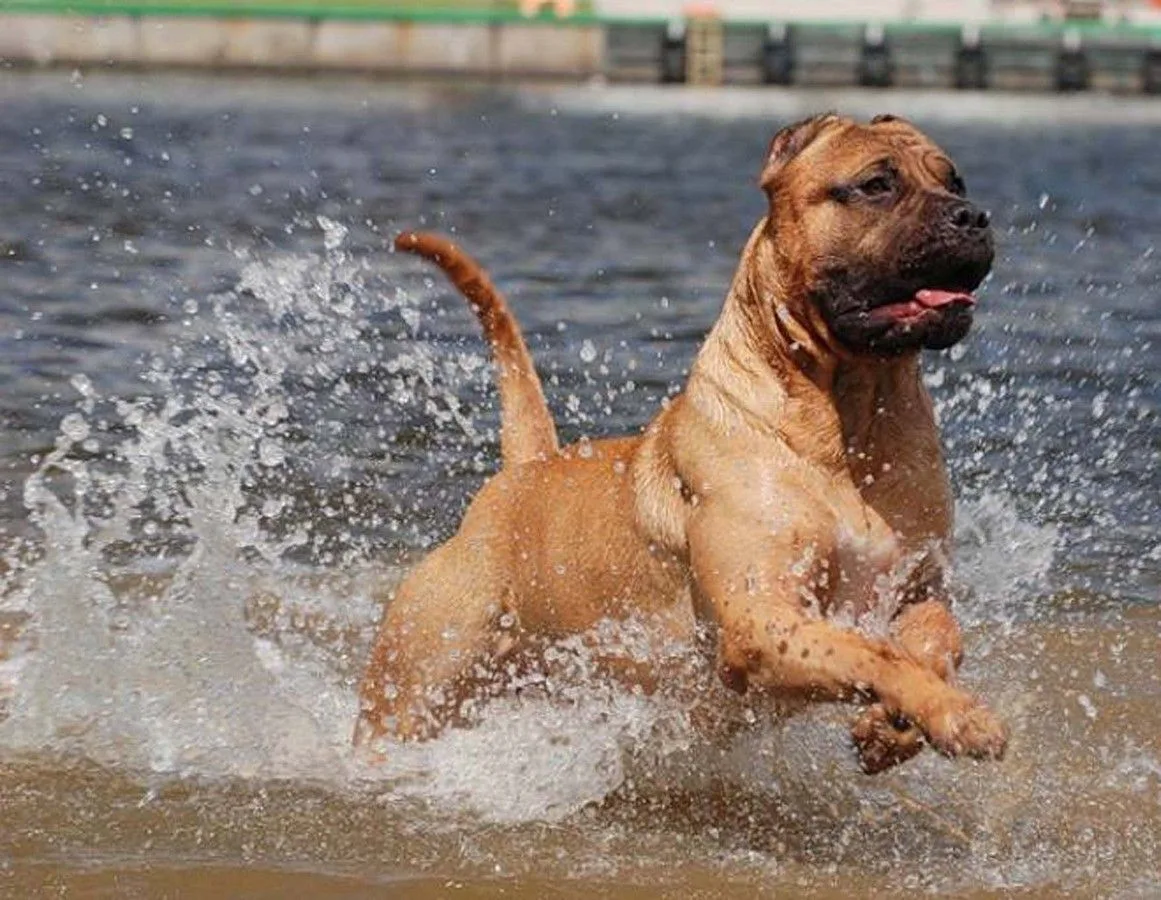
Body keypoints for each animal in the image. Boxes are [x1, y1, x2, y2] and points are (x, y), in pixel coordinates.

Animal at [352, 114, 1007, 775]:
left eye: (955, 180)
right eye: (877, 184)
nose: (974, 215)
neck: (848, 421)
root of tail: (523, 472)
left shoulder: (918, 590)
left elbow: (936, 642)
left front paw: (892, 726)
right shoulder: (758, 619)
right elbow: (873, 653)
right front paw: (958, 714)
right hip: (414, 684)